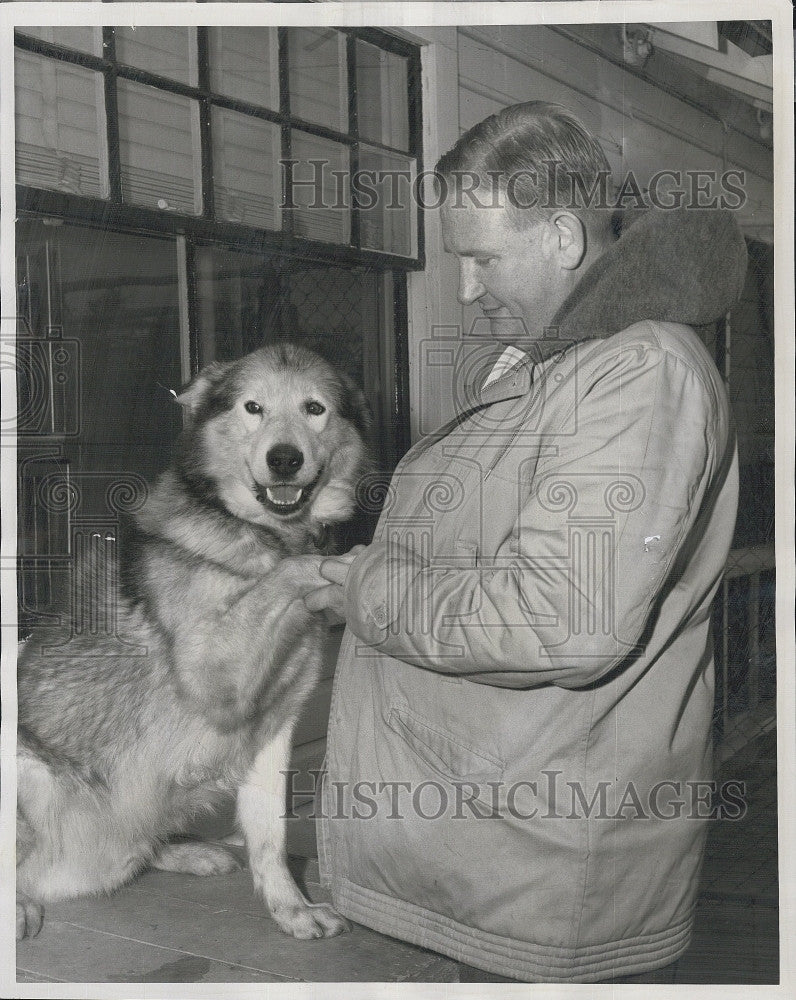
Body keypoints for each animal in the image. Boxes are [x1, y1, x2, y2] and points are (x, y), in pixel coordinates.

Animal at [15, 344, 370, 944]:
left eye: (314, 408)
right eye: (253, 407)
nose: (284, 459)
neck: (257, 532)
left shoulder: (274, 729)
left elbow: (270, 838)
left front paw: (291, 910)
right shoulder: (213, 675)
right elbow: (292, 570)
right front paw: (346, 564)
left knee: (136, 848)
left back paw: (189, 853)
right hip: (32, 773)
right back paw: (19, 907)